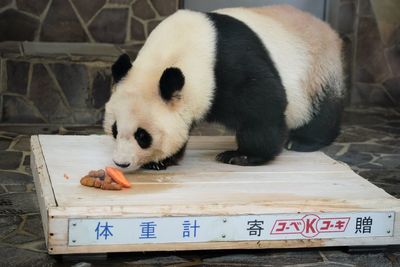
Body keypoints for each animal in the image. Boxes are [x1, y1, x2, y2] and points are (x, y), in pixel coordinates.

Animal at [103, 5, 344, 171]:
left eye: (142, 136)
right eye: (114, 129)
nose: (121, 163)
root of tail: (328, 29)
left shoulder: (230, 64)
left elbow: (265, 104)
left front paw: (242, 156)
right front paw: (162, 160)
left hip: (316, 70)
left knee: (321, 110)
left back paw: (303, 141)